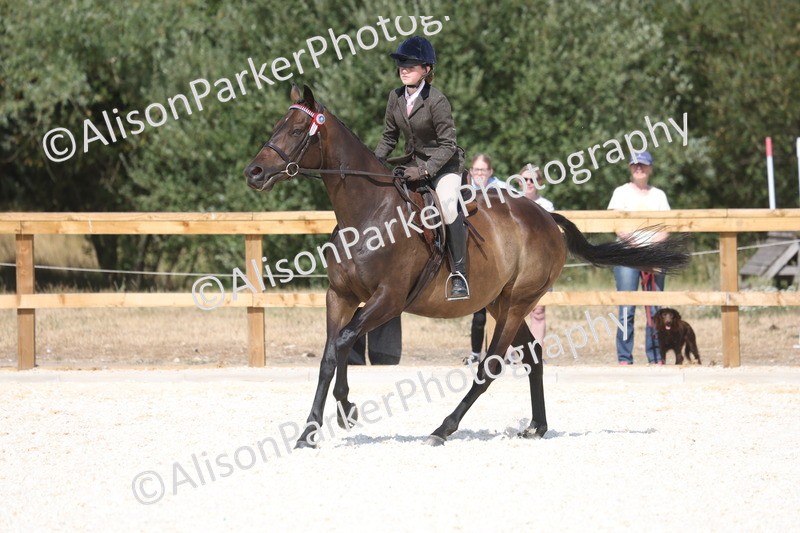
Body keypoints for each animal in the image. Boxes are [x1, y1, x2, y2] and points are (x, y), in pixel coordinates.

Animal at [244, 85, 688, 448]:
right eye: (278, 125)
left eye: (297, 131)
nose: (254, 172)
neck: (368, 213)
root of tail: (545, 218)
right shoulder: (340, 296)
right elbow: (330, 354)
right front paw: (313, 429)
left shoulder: (388, 300)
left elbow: (344, 341)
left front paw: (342, 412)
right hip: (499, 303)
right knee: (533, 355)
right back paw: (536, 427)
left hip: (517, 303)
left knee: (491, 366)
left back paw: (443, 428)